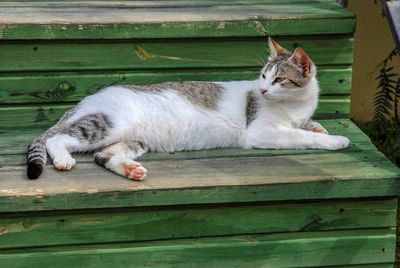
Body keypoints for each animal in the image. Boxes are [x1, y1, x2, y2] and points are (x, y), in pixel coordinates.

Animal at [26, 37, 348, 180]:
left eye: (278, 79)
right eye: (262, 76)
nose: (263, 90)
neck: (295, 104)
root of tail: (87, 101)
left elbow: (306, 125)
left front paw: (318, 125)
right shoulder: (262, 132)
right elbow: (302, 136)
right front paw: (335, 139)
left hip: (134, 139)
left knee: (102, 156)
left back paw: (131, 170)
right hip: (108, 124)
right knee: (58, 138)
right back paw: (64, 159)